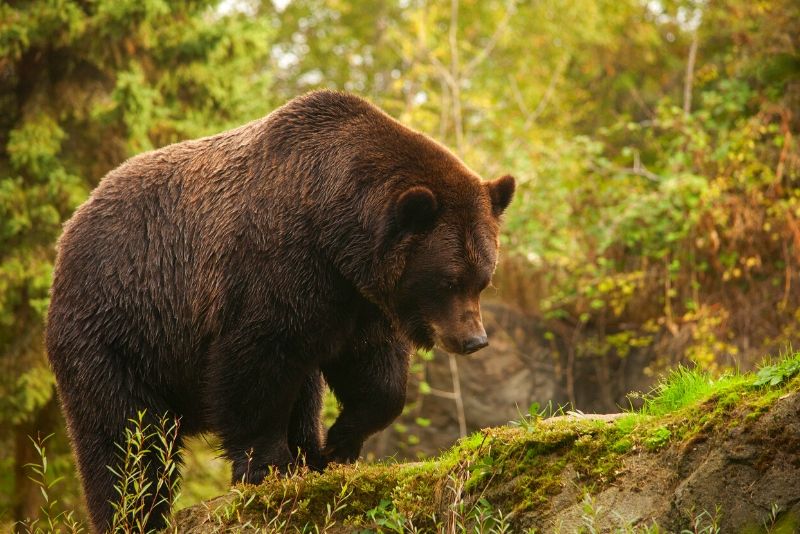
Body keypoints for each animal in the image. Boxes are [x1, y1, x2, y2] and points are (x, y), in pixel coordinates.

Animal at [47, 90, 512, 532]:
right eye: (449, 280)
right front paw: (270, 466)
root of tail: (72, 225)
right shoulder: (274, 270)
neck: (334, 232)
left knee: (302, 395)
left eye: (483, 278)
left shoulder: (356, 300)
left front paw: (335, 445)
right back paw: (133, 511)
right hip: (119, 329)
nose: (474, 340)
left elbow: (376, 374)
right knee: (126, 437)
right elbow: (256, 370)